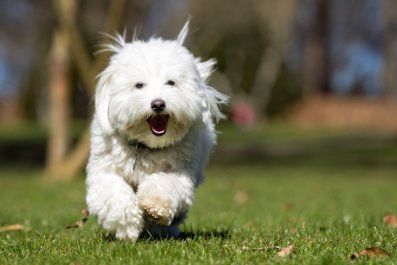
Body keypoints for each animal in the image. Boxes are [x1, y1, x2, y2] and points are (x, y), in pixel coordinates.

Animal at [86, 22, 229, 241]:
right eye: (139, 85)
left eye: (170, 82)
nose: (158, 104)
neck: (146, 146)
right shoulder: (103, 171)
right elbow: (114, 195)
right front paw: (127, 225)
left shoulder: (181, 173)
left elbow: (165, 184)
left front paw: (155, 206)